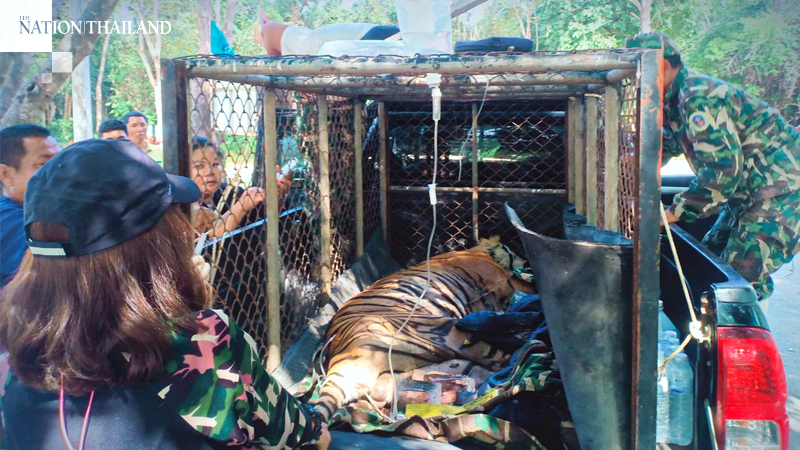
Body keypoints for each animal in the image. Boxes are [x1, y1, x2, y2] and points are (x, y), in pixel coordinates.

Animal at [313, 240, 536, 421]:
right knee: (504, 359)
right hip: (445, 329)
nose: (525, 260)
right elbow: (527, 286)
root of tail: (340, 357)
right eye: (513, 251)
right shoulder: (503, 279)